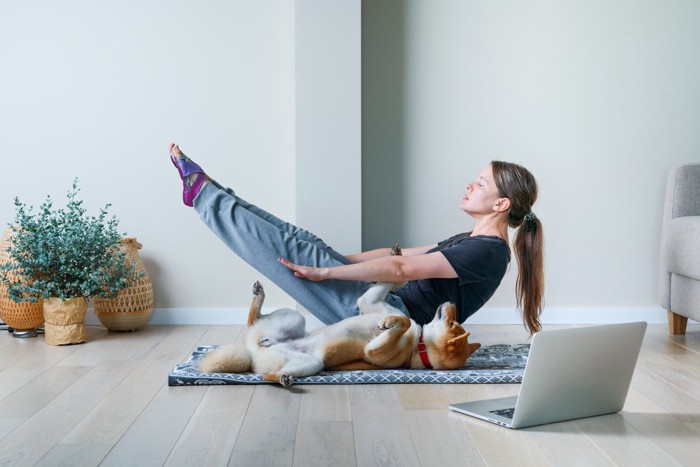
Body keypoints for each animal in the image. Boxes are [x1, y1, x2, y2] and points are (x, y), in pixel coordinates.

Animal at [200, 282, 478, 388]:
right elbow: (390, 298)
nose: (453, 300)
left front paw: (389, 323)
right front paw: (396, 257)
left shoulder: (374, 351)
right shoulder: (370, 301)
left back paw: (282, 379)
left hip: (312, 363)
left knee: (267, 372)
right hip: (295, 320)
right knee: (253, 320)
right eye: (454, 322)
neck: (418, 344)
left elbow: (403, 321)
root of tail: (252, 354)